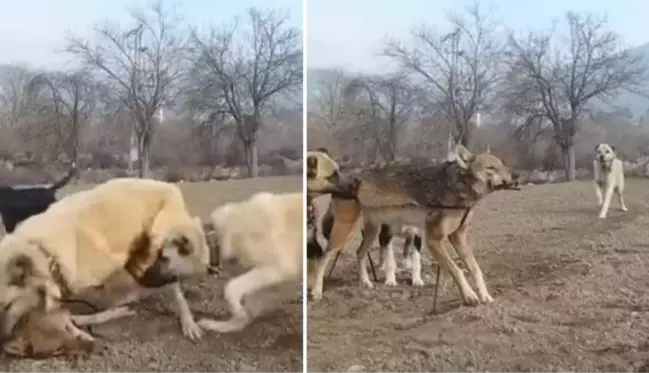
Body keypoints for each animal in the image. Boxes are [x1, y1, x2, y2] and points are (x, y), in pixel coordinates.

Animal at [0, 179, 209, 356]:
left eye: (7, 305)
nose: (4, 343)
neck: (44, 252)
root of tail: (170, 186)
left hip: (156, 248)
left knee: (171, 285)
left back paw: (187, 320)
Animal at [308, 144, 520, 306]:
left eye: (503, 165)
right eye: (490, 168)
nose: (516, 175)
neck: (455, 188)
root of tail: (345, 177)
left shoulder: (458, 238)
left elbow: (475, 269)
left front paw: (485, 296)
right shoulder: (434, 241)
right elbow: (457, 270)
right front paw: (469, 297)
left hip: (371, 231)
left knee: (359, 253)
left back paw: (366, 283)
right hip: (345, 232)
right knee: (324, 257)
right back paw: (316, 291)